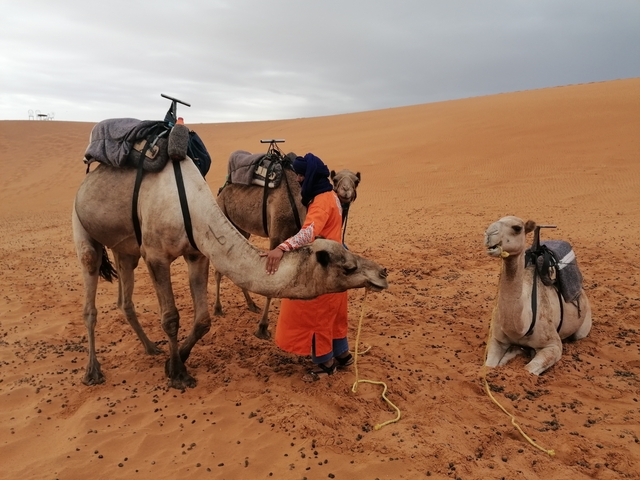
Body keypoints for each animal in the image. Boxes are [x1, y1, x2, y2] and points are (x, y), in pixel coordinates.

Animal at [72, 158, 387, 390]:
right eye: (348, 267)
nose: (382, 273)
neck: (192, 209)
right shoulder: (156, 256)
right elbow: (171, 318)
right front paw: (178, 374)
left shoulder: (198, 252)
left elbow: (203, 320)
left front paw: (176, 360)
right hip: (83, 227)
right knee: (89, 295)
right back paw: (92, 371)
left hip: (126, 249)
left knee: (124, 300)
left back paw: (151, 348)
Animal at [483, 216, 592, 375]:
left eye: (517, 228)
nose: (489, 234)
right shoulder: (496, 339)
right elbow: (488, 366)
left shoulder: (553, 344)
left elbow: (528, 369)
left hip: (584, 324)